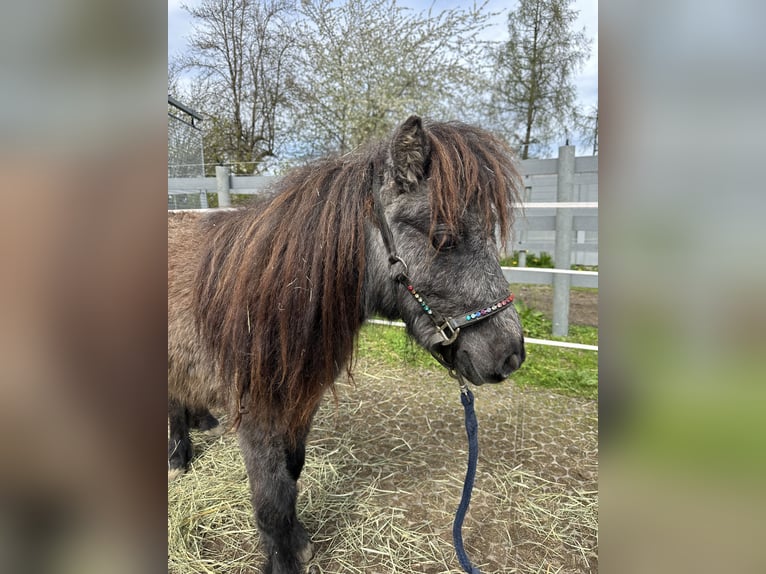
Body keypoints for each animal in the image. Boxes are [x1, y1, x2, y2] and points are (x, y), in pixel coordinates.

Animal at [168, 115, 528, 572]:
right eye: (444, 239)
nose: (511, 354)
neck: (273, 295)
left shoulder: (301, 404)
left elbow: (292, 471)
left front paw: (298, 540)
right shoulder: (256, 414)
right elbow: (271, 497)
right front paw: (283, 559)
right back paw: (177, 459)